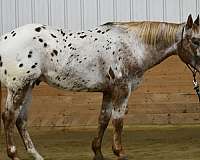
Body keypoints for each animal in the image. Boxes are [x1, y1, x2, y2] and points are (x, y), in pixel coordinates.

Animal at [0, 14, 200, 159]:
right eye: (196, 41)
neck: (133, 46)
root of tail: (5, 38)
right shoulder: (122, 89)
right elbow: (118, 121)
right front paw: (119, 152)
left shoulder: (108, 91)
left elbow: (104, 119)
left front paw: (97, 152)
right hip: (19, 87)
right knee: (9, 117)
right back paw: (14, 154)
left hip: (29, 87)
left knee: (20, 120)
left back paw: (36, 155)